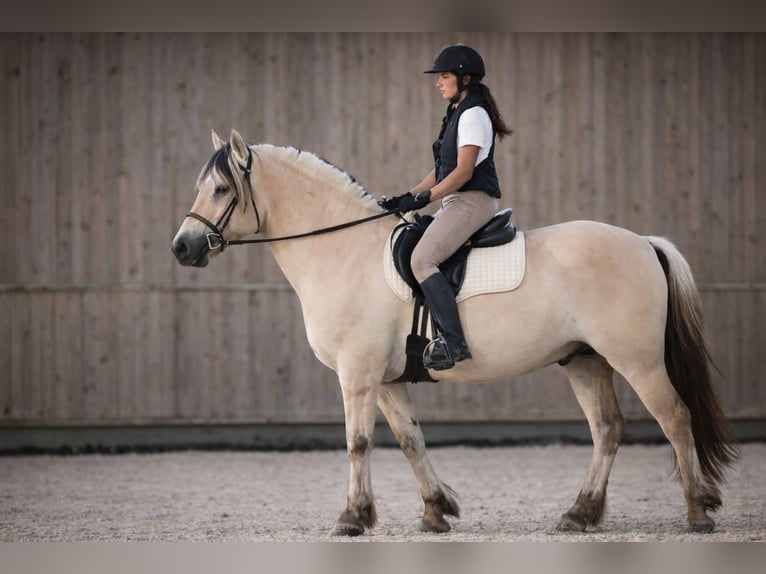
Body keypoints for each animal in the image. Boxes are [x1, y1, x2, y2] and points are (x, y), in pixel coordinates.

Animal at [172, 129, 738, 536]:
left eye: (220, 188)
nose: (183, 248)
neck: (344, 252)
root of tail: (643, 242)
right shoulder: (387, 380)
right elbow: (410, 441)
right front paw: (436, 511)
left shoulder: (357, 374)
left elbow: (358, 443)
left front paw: (351, 519)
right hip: (584, 359)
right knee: (607, 429)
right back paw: (580, 514)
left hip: (636, 359)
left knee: (675, 418)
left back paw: (696, 513)